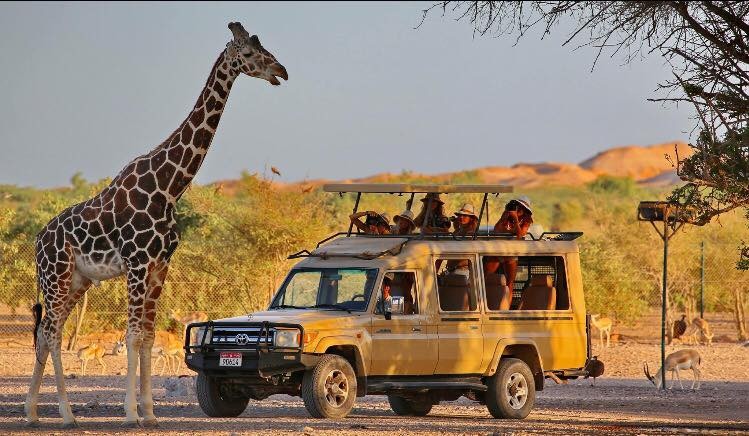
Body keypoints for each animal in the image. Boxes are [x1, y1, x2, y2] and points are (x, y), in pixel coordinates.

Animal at [23, 22, 286, 428]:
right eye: (247, 52)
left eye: (264, 47)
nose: (281, 71)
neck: (169, 186)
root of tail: (38, 240)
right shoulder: (137, 261)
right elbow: (132, 335)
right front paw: (131, 412)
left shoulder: (161, 264)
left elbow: (147, 335)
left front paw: (149, 412)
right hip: (57, 276)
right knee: (50, 334)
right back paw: (65, 414)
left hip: (77, 281)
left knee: (47, 331)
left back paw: (33, 412)